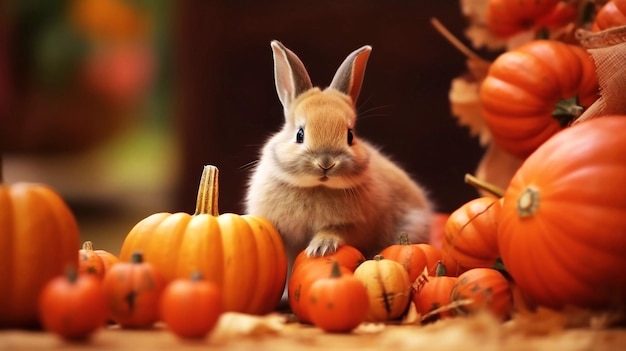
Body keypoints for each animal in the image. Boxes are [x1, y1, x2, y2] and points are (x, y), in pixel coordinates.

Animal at [244, 40, 434, 274]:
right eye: (300, 134)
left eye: (350, 135)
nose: (326, 163)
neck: (317, 187)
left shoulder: (355, 226)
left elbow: (336, 231)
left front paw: (320, 248)